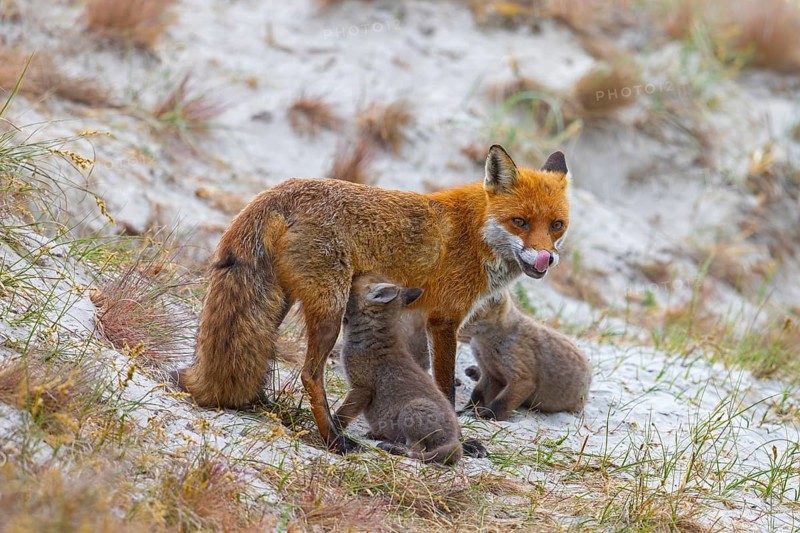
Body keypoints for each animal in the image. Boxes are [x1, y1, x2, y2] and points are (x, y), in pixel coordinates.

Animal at [334, 274, 462, 465]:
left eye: (353, 281)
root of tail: (454, 441)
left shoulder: (362, 388)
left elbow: (342, 414)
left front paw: (332, 424)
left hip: (412, 410)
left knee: (416, 450)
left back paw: (393, 447)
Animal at [461, 290, 591, 420]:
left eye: (470, 314)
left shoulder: (522, 379)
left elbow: (501, 403)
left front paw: (487, 416)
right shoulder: (489, 373)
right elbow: (477, 396)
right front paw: (463, 411)